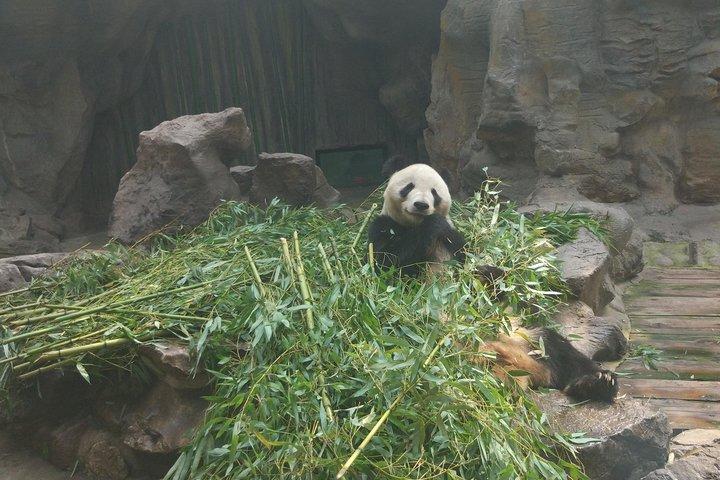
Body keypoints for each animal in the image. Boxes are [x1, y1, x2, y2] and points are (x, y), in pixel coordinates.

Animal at [368, 163, 618, 402]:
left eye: (434, 192)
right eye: (408, 187)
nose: (421, 205)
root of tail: (515, 369)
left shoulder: (459, 245)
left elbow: (482, 284)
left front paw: (490, 274)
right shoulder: (382, 229)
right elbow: (388, 269)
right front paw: (430, 225)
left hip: (521, 338)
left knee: (558, 348)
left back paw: (598, 382)